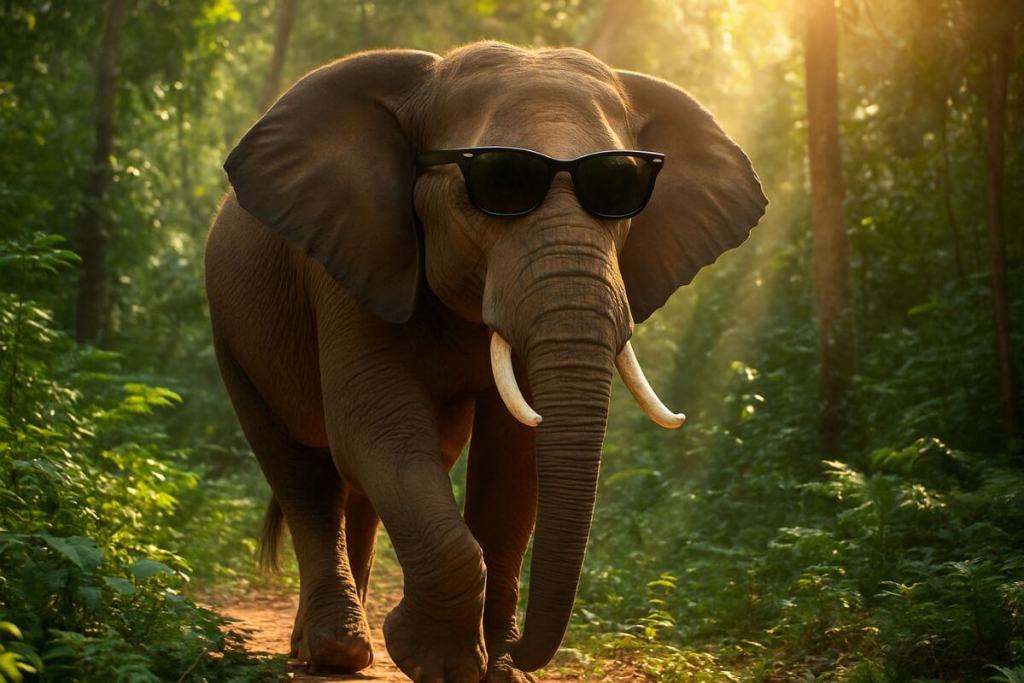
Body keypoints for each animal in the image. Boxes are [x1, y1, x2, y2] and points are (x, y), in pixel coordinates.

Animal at [205, 41, 765, 683]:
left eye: (623, 190)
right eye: (498, 183)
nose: (525, 652)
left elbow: (511, 459)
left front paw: (502, 668)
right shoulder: (349, 266)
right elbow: (376, 428)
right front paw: (441, 663)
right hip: (230, 332)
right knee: (302, 473)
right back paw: (332, 652)